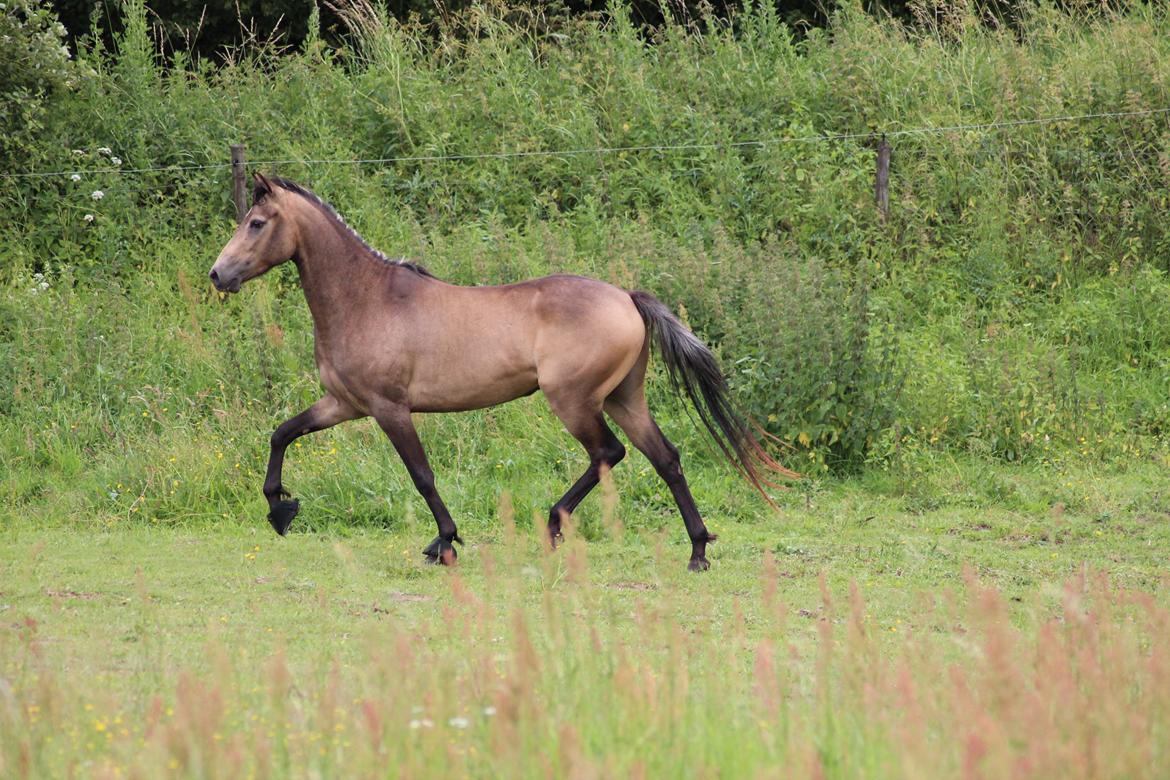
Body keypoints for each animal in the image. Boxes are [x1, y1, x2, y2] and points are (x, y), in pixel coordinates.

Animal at [210, 174, 795, 570]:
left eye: (256, 224)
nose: (218, 275)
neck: (366, 300)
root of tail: (627, 298)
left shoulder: (388, 409)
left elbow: (422, 476)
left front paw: (444, 543)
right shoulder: (344, 405)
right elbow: (282, 433)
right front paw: (279, 509)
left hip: (573, 400)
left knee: (608, 454)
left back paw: (555, 526)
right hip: (624, 398)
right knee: (665, 458)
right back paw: (697, 551)